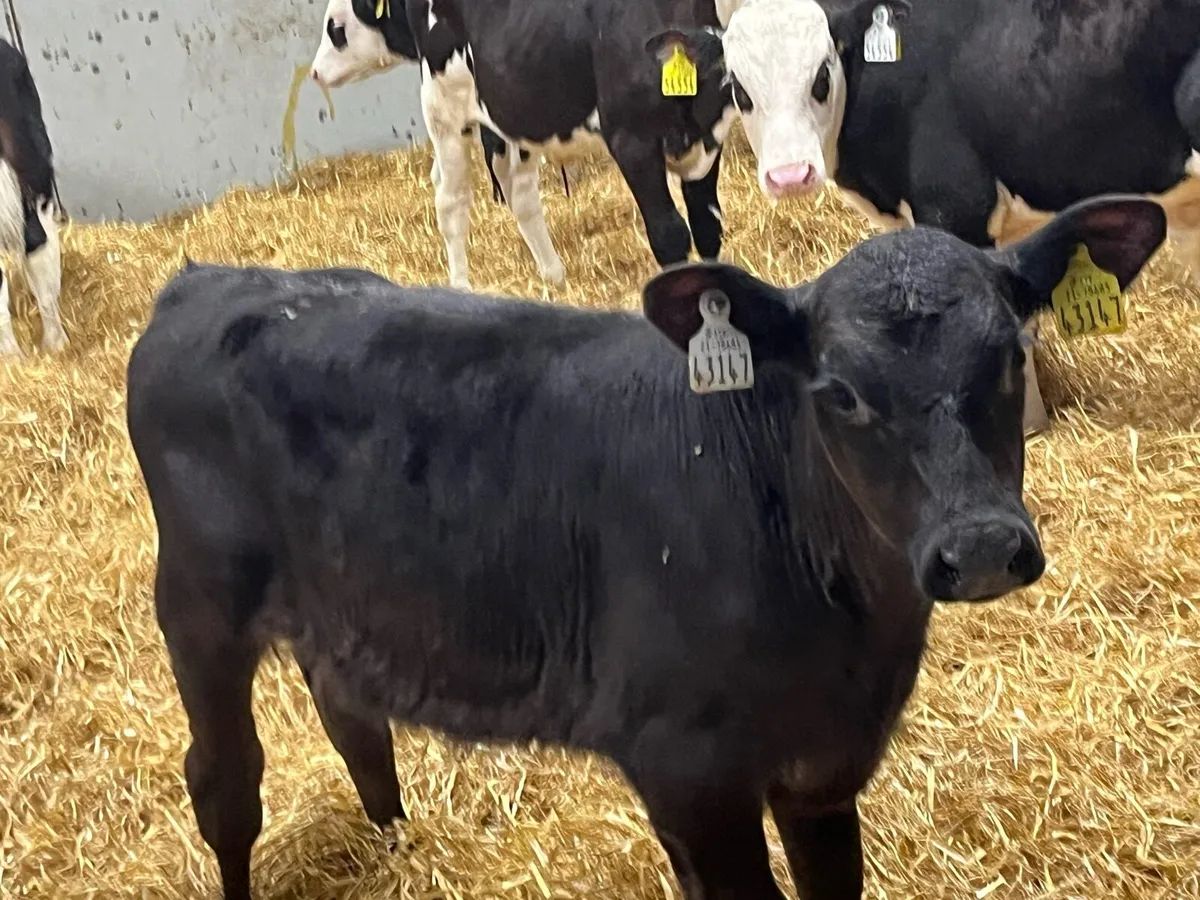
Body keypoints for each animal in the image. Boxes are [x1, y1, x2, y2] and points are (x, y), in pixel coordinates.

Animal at [125, 194, 1166, 900]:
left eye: (1013, 356)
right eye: (839, 392)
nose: (980, 545)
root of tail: (206, 279)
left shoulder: (825, 772)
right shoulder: (688, 772)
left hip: (336, 604)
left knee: (354, 720)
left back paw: (397, 845)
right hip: (197, 604)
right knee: (224, 783)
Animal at [308, 0, 857, 290]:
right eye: (333, 27)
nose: (313, 72)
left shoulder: (709, 142)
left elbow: (707, 228)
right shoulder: (631, 141)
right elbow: (669, 234)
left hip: (513, 113)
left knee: (522, 196)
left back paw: (553, 276)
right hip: (444, 105)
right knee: (451, 200)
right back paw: (461, 285)